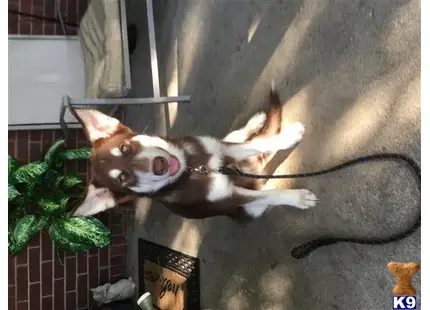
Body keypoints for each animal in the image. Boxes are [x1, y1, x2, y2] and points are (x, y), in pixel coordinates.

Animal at [70, 85, 318, 220]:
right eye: (123, 178)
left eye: (125, 148)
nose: (159, 166)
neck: (191, 169)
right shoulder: (229, 198)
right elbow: (271, 195)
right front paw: (298, 198)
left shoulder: (219, 150)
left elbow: (256, 144)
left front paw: (287, 137)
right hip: (251, 209)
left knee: (237, 138)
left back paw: (256, 122)